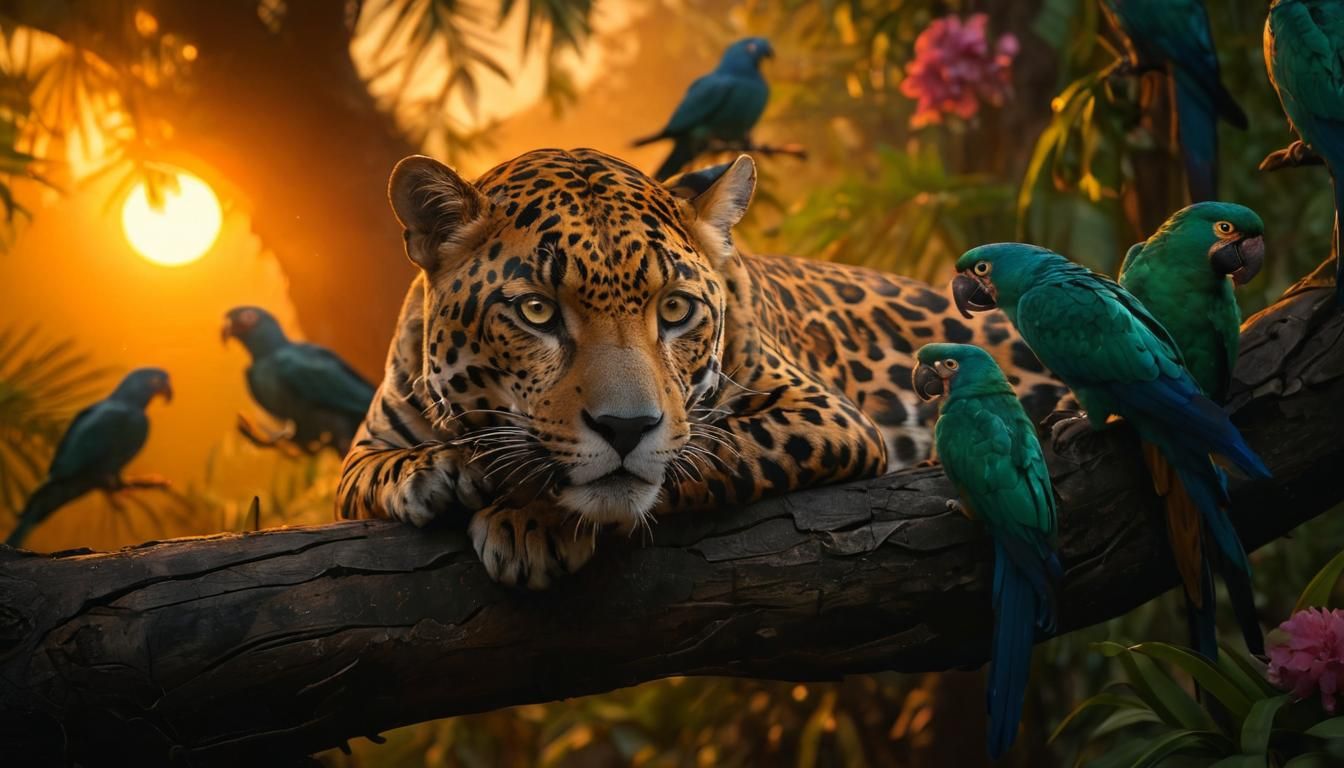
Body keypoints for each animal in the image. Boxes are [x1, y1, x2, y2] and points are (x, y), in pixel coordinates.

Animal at [337, 148, 1065, 589]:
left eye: (676, 309)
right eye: (538, 312)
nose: (626, 428)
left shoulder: (827, 414)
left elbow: (697, 455)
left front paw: (531, 519)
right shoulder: (364, 448)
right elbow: (369, 474)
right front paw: (433, 472)